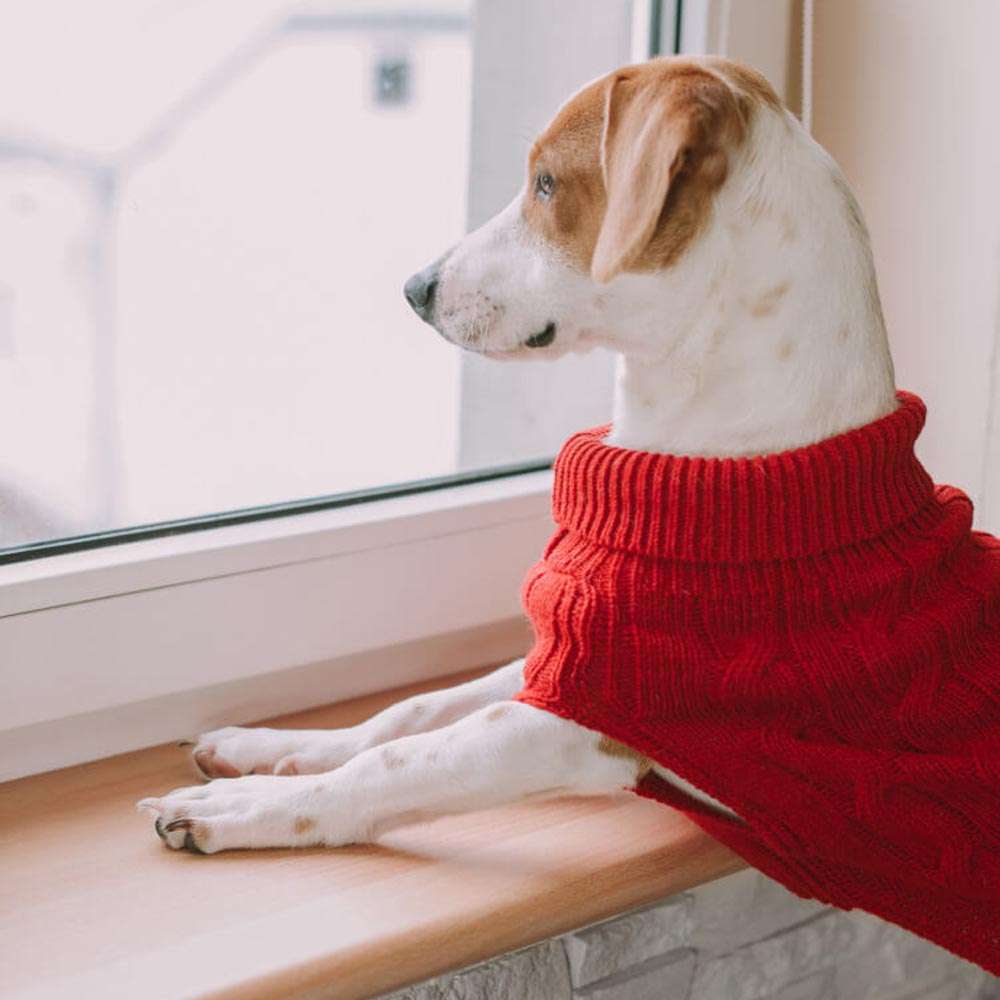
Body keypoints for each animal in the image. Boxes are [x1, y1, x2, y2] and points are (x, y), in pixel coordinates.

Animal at [137, 54, 896, 852]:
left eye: (547, 184)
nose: (413, 288)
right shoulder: (563, 662)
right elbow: (408, 711)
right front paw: (271, 747)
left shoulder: (582, 727)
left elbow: (395, 763)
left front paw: (248, 806)